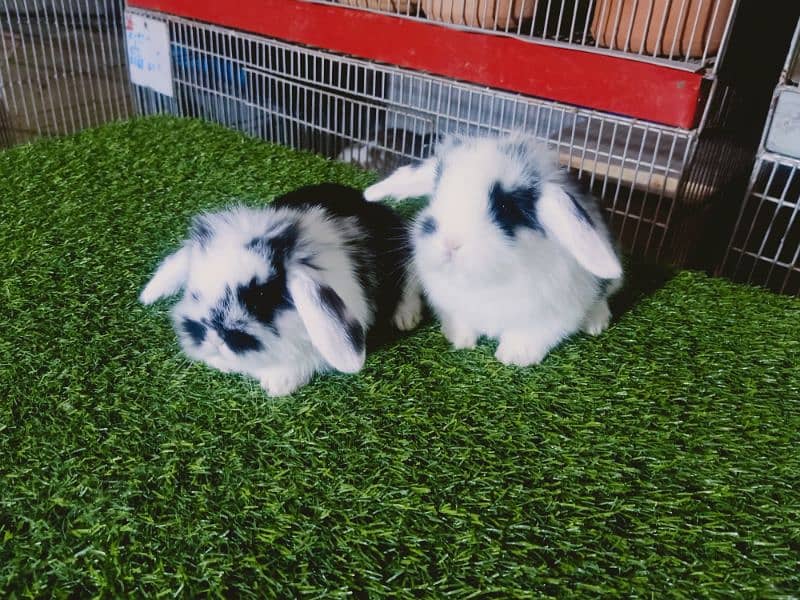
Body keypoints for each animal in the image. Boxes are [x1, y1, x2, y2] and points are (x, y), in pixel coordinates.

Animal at [364, 132, 624, 366]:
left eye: (505, 207)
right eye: (436, 192)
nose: (450, 243)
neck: (485, 278)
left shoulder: (551, 316)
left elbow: (531, 334)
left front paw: (513, 356)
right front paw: (459, 339)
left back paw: (596, 323)